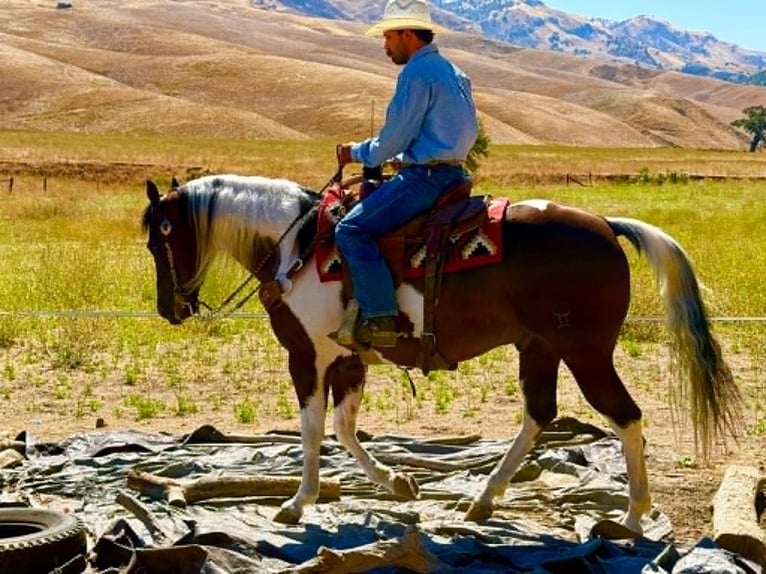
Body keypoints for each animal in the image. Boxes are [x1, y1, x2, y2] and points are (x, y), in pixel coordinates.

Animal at [141, 173, 741, 533]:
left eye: (157, 239)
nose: (171, 309)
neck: (299, 246)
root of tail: (606, 227)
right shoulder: (349, 360)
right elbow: (344, 428)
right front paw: (398, 483)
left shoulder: (306, 355)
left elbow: (312, 429)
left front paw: (295, 502)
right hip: (540, 347)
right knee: (540, 415)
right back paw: (483, 499)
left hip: (586, 352)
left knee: (625, 417)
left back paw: (634, 518)